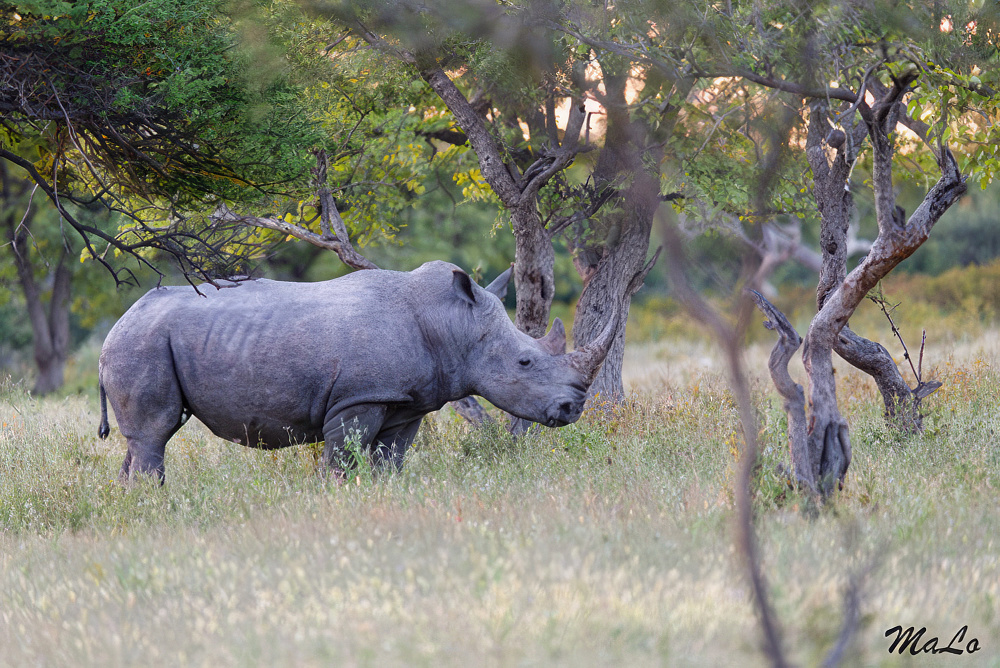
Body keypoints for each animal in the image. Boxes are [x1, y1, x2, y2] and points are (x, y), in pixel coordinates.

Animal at [98, 261, 617, 483]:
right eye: (525, 362)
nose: (573, 409)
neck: (454, 323)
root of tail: (117, 323)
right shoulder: (359, 396)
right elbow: (342, 459)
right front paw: (335, 499)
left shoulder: (404, 401)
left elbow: (391, 459)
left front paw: (385, 494)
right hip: (141, 344)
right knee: (155, 432)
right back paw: (155, 505)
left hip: (144, 340)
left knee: (142, 439)